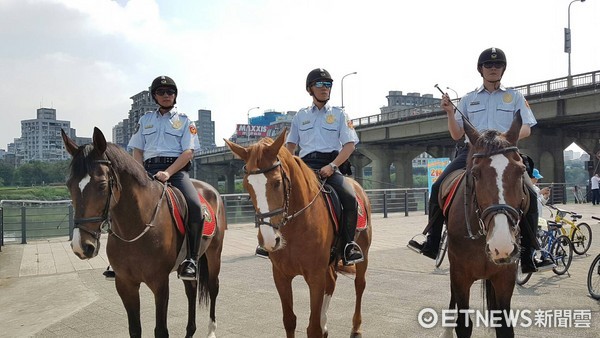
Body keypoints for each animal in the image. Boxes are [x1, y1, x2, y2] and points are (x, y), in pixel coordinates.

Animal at [61, 127, 225, 338]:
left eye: (102, 185)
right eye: (69, 184)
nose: (81, 246)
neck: (135, 228)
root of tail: (211, 190)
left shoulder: (160, 284)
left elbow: (161, 331)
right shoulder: (125, 284)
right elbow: (134, 329)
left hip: (214, 253)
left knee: (213, 287)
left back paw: (211, 330)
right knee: (191, 289)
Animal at [227, 130, 372, 338]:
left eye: (277, 183)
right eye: (247, 186)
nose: (269, 240)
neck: (295, 227)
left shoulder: (315, 276)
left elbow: (313, 328)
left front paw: (320, 325)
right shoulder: (280, 275)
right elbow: (289, 320)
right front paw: (319, 324)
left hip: (363, 254)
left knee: (359, 285)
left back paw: (356, 327)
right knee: (332, 282)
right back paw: (326, 322)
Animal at [440, 113, 524, 338]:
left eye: (521, 171)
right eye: (476, 174)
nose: (501, 246)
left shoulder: (505, 277)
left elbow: (505, 328)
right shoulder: (460, 276)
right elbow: (463, 325)